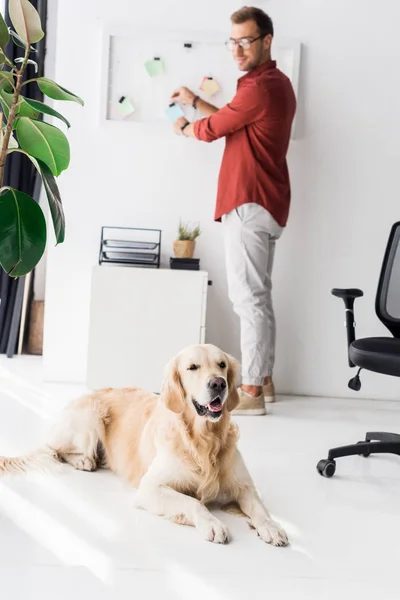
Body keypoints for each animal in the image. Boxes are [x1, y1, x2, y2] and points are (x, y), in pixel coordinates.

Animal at [0, 344, 288, 548]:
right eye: (193, 367)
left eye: (222, 364)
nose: (218, 382)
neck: (204, 439)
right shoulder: (149, 488)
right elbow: (193, 502)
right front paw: (213, 524)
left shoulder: (244, 486)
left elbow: (259, 508)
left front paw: (272, 527)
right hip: (91, 416)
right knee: (56, 449)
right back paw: (83, 459)